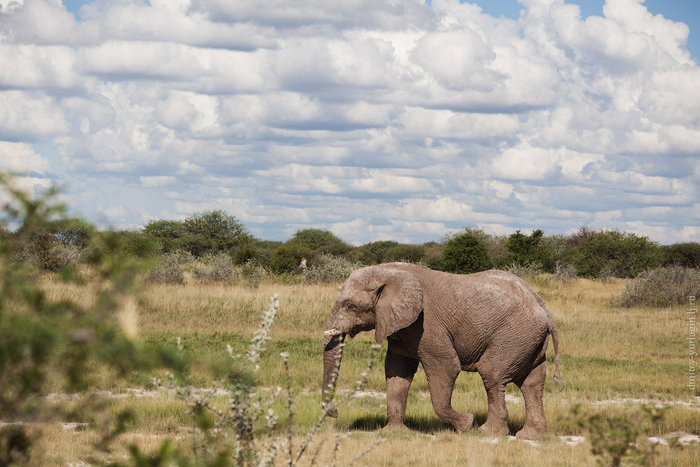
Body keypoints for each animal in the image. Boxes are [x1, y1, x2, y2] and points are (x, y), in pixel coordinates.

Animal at [322, 266, 564, 440]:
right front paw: (393, 433)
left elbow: (446, 367)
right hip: (529, 340)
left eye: (351, 306)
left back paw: (488, 433)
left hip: (514, 335)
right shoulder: (402, 327)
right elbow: (397, 371)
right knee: (532, 383)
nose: (335, 413)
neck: (388, 272)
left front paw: (467, 424)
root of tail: (544, 308)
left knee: (492, 375)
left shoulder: (427, 325)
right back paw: (530, 436)